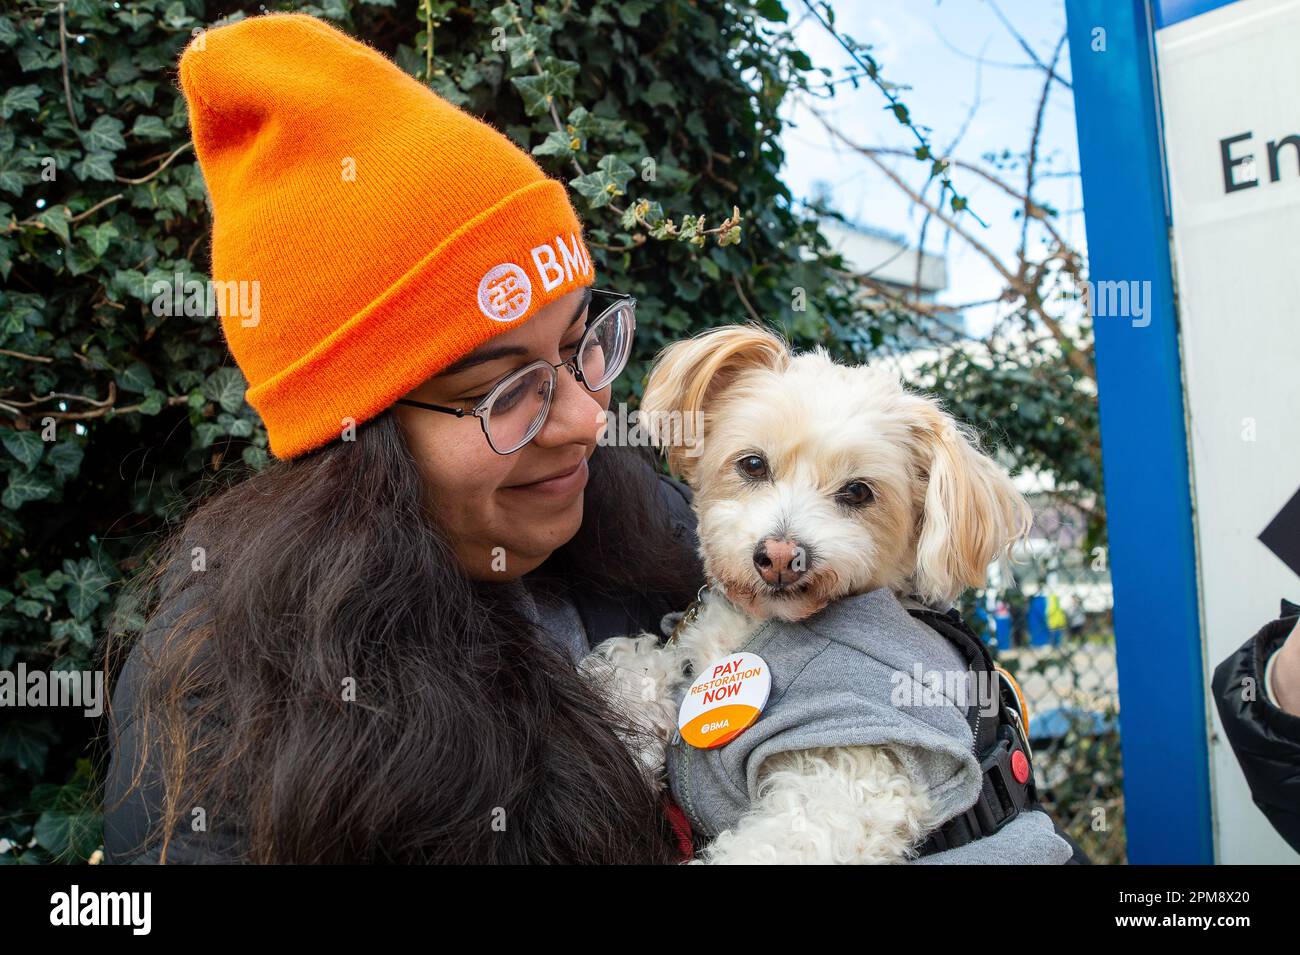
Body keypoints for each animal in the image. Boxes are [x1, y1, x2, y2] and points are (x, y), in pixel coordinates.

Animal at [582, 323, 1034, 867]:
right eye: (753, 464)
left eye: (858, 492)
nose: (779, 556)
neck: (765, 627)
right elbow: (644, 664)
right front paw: (621, 704)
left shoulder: (857, 767)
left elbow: (785, 838)